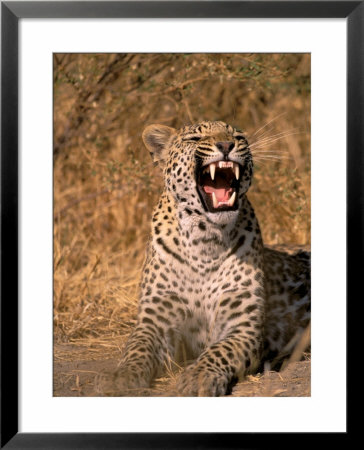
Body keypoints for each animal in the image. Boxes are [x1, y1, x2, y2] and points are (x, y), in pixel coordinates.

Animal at [96, 120, 310, 398]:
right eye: (194, 138)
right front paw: (120, 377)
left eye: (238, 136)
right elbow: (136, 348)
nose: (226, 144)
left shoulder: (243, 326)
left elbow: (219, 351)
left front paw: (198, 376)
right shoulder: (155, 320)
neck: (205, 240)